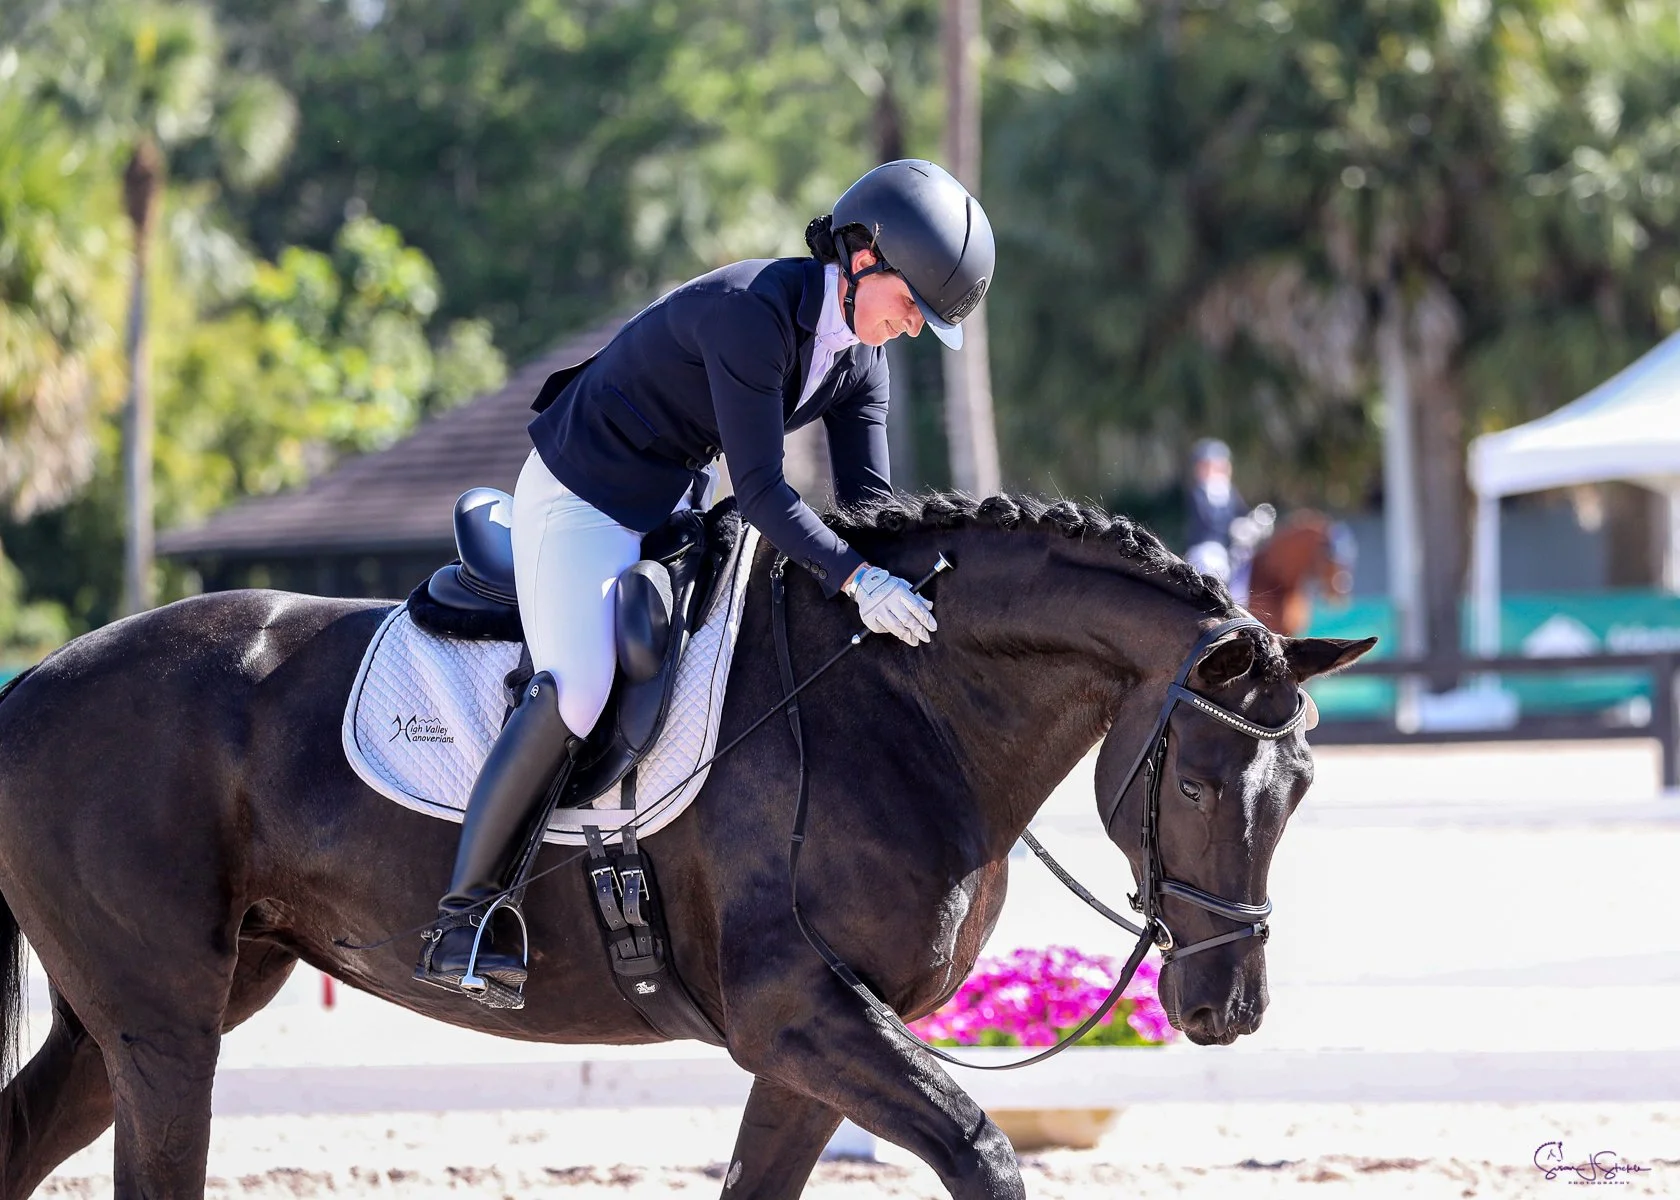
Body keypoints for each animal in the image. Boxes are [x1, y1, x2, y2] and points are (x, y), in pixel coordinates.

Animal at [0, 491, 1373, 1199]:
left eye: (1303, 785)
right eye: (1195, 777)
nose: (1228, 1008)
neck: (903, 702)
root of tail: (35, 685)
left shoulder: (817, 1045)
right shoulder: (798, 1014)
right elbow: (985, 1157)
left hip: (158, 1010)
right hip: (163, 1028)